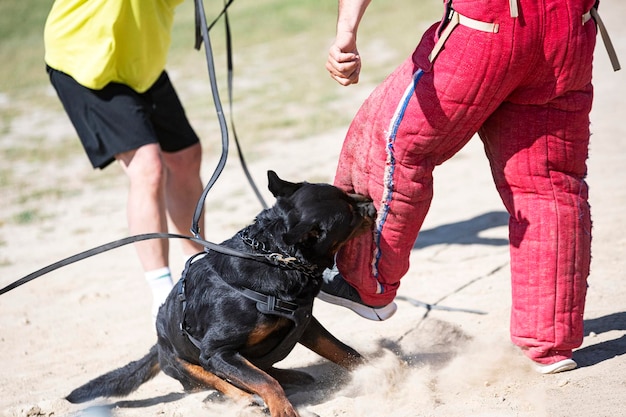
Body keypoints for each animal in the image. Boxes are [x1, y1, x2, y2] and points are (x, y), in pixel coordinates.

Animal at [66, 170, 372, 416]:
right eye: (350, 216)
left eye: (348, 195)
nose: (370, 203)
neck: (273, 258)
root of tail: (157, 345)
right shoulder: (217, 352)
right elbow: (264, 382)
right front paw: (282, 409)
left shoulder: (305, 323)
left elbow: (344, 351)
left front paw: (378, 369)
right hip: (183, 362)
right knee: (218, 383)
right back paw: (248, 398)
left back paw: (291, 376)